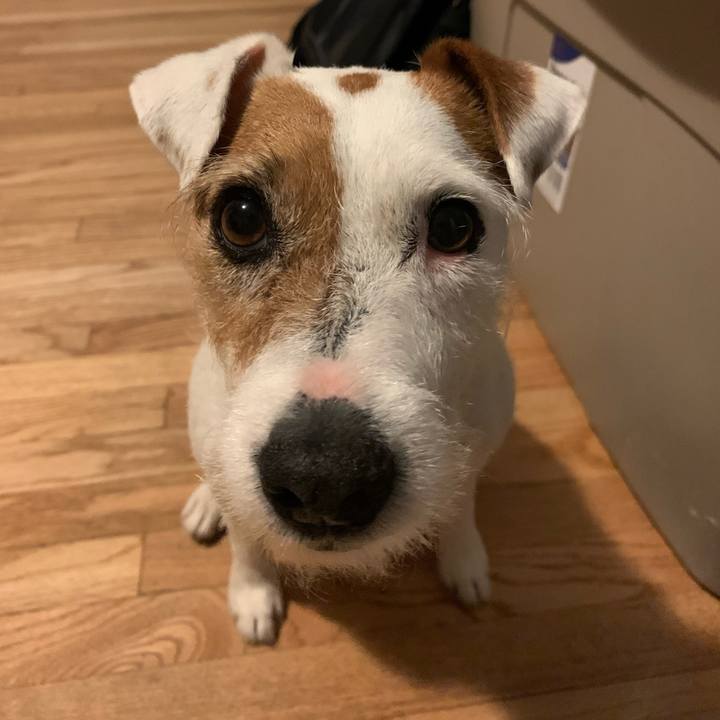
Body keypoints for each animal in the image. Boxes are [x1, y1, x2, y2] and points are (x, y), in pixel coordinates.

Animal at [130, 32, 583, 645]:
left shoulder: (477, 445)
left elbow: (460, 503)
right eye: (240, 217)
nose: (326, 478)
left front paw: (463, 560)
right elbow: (248, 539)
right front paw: (252, 591)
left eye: (454, 226)